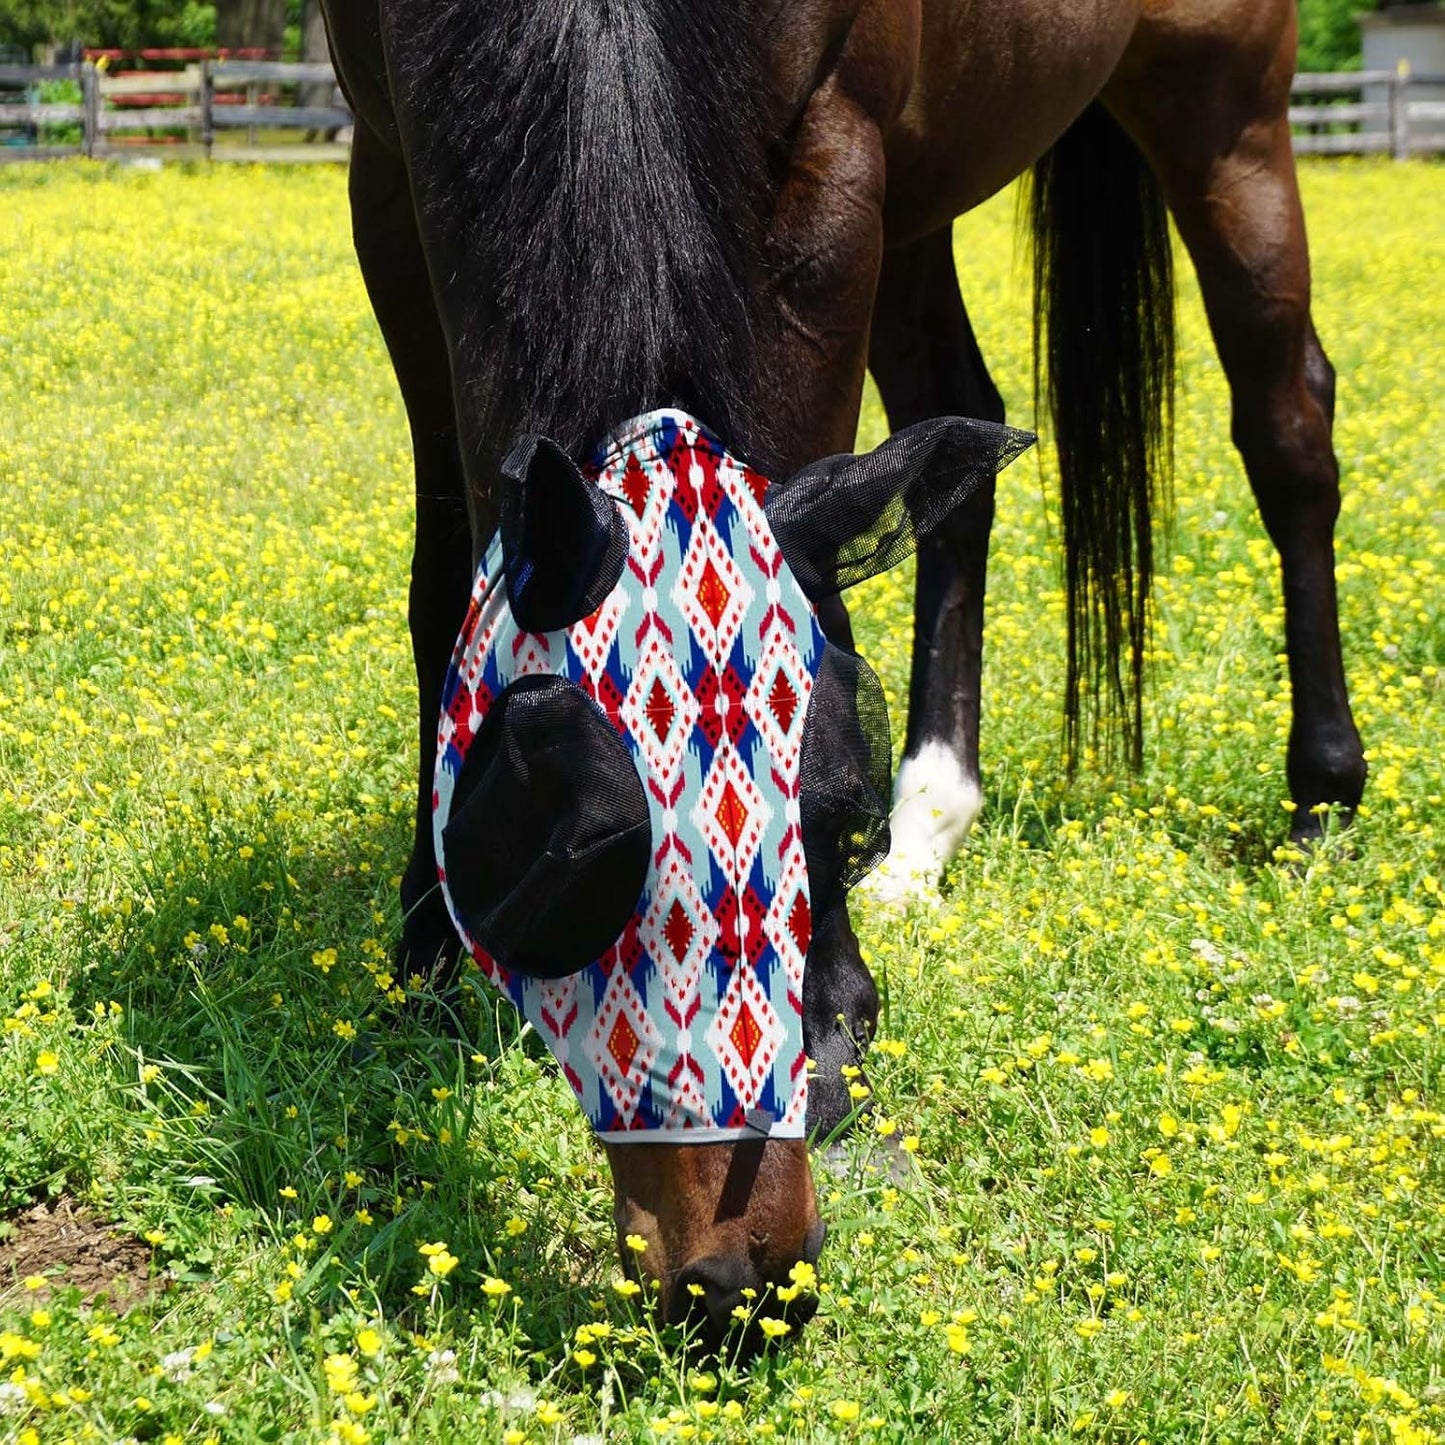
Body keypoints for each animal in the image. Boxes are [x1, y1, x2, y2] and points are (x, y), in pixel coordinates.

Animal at [316, 0, 1365, 1344]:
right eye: (573, 851)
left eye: (823, 803)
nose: (745, 1280)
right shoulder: (387, 181)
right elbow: (443, 567)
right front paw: (423, 949)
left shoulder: (829, 180)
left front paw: (834, 1011)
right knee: (956, 432)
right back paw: (930, 828)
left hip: (1220, 103)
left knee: (1286, 420)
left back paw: (1319, 792)